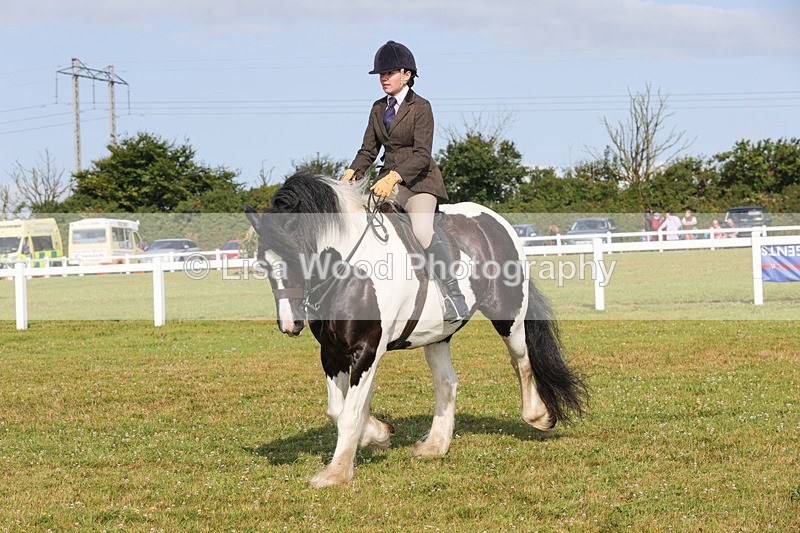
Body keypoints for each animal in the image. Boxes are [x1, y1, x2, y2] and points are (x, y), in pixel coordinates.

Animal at [244, 172, 587, 488]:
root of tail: (496, 222)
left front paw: (336, 473)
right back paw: (435, 445)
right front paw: (378, 433)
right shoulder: (331, 352)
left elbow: (349, 413)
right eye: (263, 264)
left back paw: (539, 417)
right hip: (438, 335)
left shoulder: (367, 349)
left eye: (296, 256)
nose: (290, 324)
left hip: (508, 316)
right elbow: (336, 409)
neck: (349, 270)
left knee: (522, 361)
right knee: (447, 382)